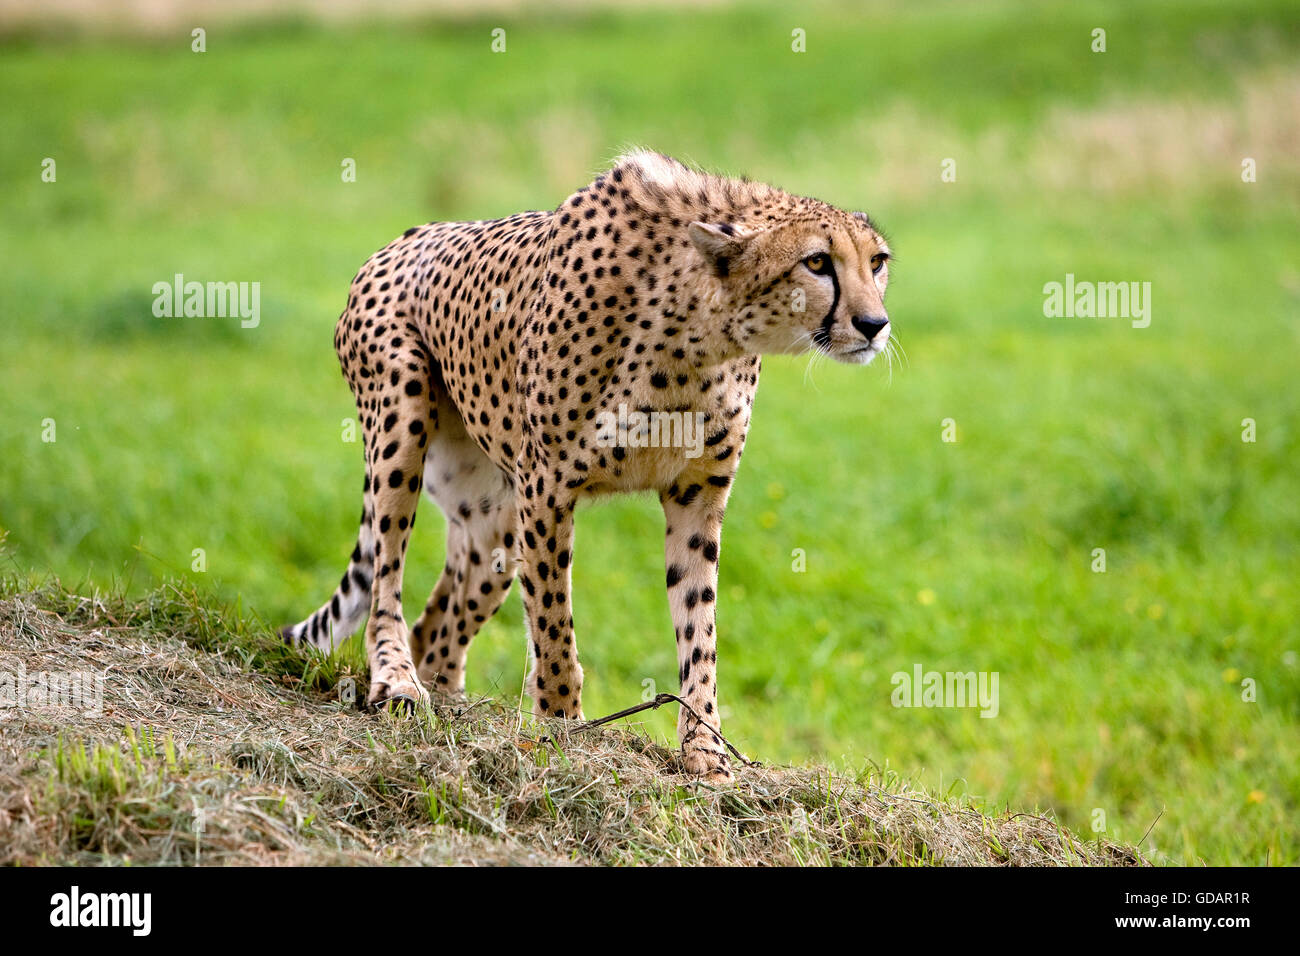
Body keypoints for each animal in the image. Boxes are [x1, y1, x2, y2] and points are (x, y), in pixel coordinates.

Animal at [280, 150, 893, 782]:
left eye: (877, 262)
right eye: (817, 262)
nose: (875, 325)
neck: (699, 330)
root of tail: (405, 238)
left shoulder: (697, 493)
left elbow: (699, 627)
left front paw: (706, 752)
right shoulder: (548, 485)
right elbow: (555, 626)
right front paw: (561, 730)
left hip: (495, 519)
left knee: (440, 622)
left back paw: (450, 703)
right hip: (401, 422)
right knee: (387, 579)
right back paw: (398, 682)